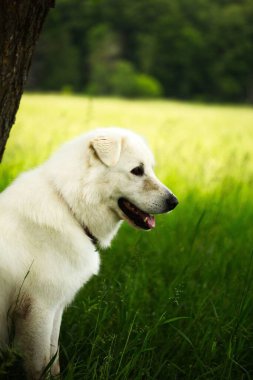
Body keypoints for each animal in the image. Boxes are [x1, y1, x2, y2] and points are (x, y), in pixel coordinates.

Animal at [0, 127, 178, 378]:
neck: (69, 206)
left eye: (150, 169)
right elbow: (40, 365)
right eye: (137, 170)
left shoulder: (55, 309)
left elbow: (53, 358)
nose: (174, 202)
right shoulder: (38, 309)